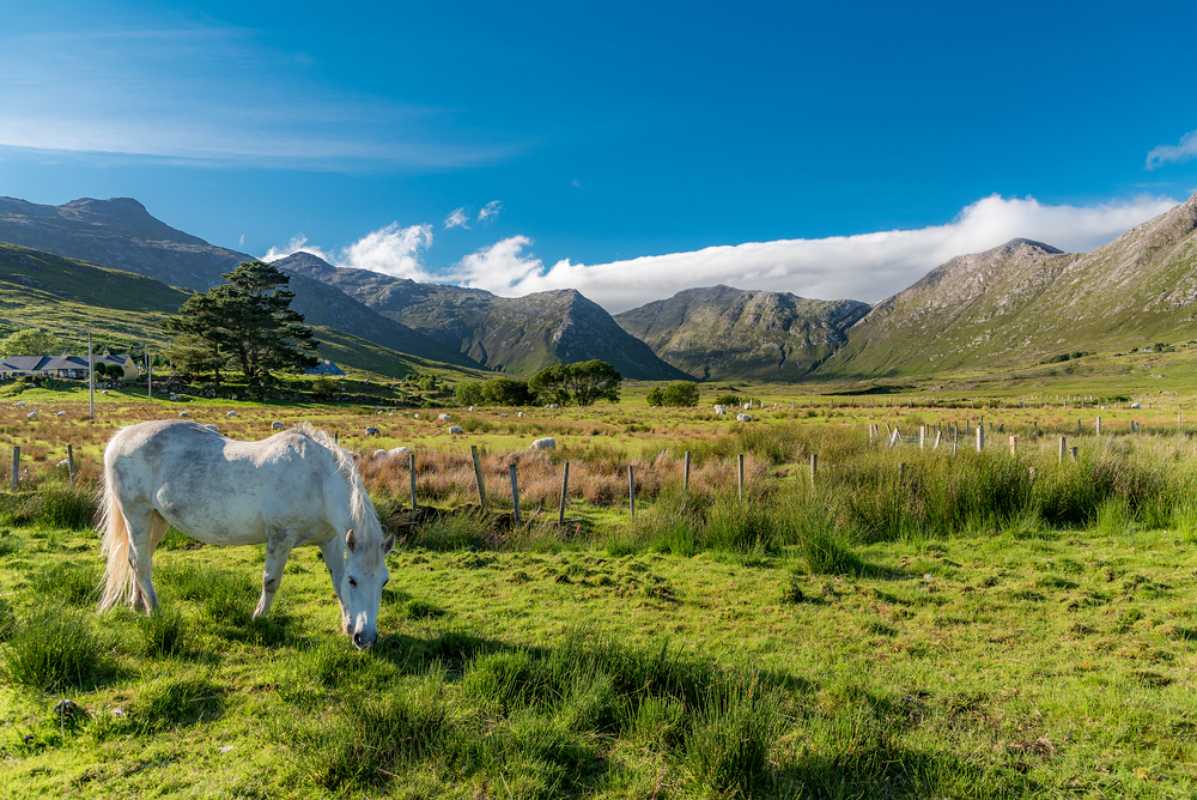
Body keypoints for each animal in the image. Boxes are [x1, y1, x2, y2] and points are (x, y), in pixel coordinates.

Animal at [97, 420, 393, 649]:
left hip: (156, 519)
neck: (318, 480)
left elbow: (335, 580)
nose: (365, 638)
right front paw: (258, 619)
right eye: (355, 581)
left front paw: (347, 625)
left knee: (139, 558)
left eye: (384, 582)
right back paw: (155, 610)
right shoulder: (280, 537)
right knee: (139, 562)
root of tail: (120, 437)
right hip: (137, 514)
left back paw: (138, 605)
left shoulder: (330, 540)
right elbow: (271, 581)